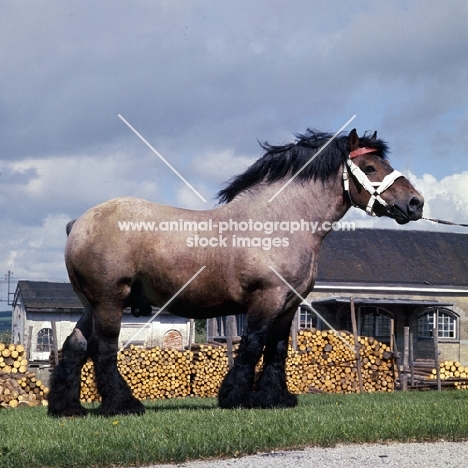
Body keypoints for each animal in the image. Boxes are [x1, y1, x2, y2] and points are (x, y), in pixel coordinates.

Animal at [46, 128, 424, 416]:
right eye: (370, 166)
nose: (415, 203)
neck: (280, 220)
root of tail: (77, 224)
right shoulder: (265, 298)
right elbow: (253, 345)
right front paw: (237, 397)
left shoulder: (288, 306)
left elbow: (276, 350)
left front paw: (275, 398)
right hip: (109, 302)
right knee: (104, 350)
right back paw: (123, 405)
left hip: (91, 306)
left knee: (75, 346)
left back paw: (67, 408)